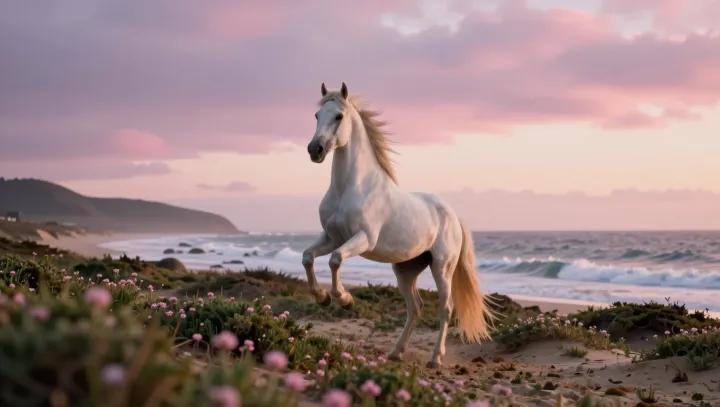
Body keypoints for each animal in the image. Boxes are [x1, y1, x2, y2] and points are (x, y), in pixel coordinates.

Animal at [301, 82, 495, 367]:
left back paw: (435, 358)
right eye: (316, 116)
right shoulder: (331, 237)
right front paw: (322, 296)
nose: (315, 150)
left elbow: (335, 260)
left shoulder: (363, 238)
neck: (349, 188)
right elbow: (307, 257)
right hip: (405, 270)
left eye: (338, 116)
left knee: (445, 309)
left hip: (442, 268)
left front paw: (345, 299)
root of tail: (452, 215)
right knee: (415, 307)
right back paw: (396, 352)